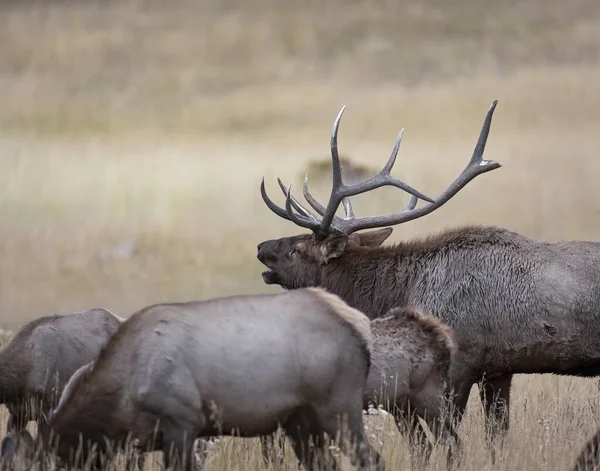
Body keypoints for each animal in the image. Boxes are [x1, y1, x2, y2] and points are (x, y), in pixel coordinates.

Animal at [258, 101, 600, 448]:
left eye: (297, 248)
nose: (261, 247)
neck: (399, 293)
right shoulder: (499, 370)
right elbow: (496, 437)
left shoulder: (458, 363)